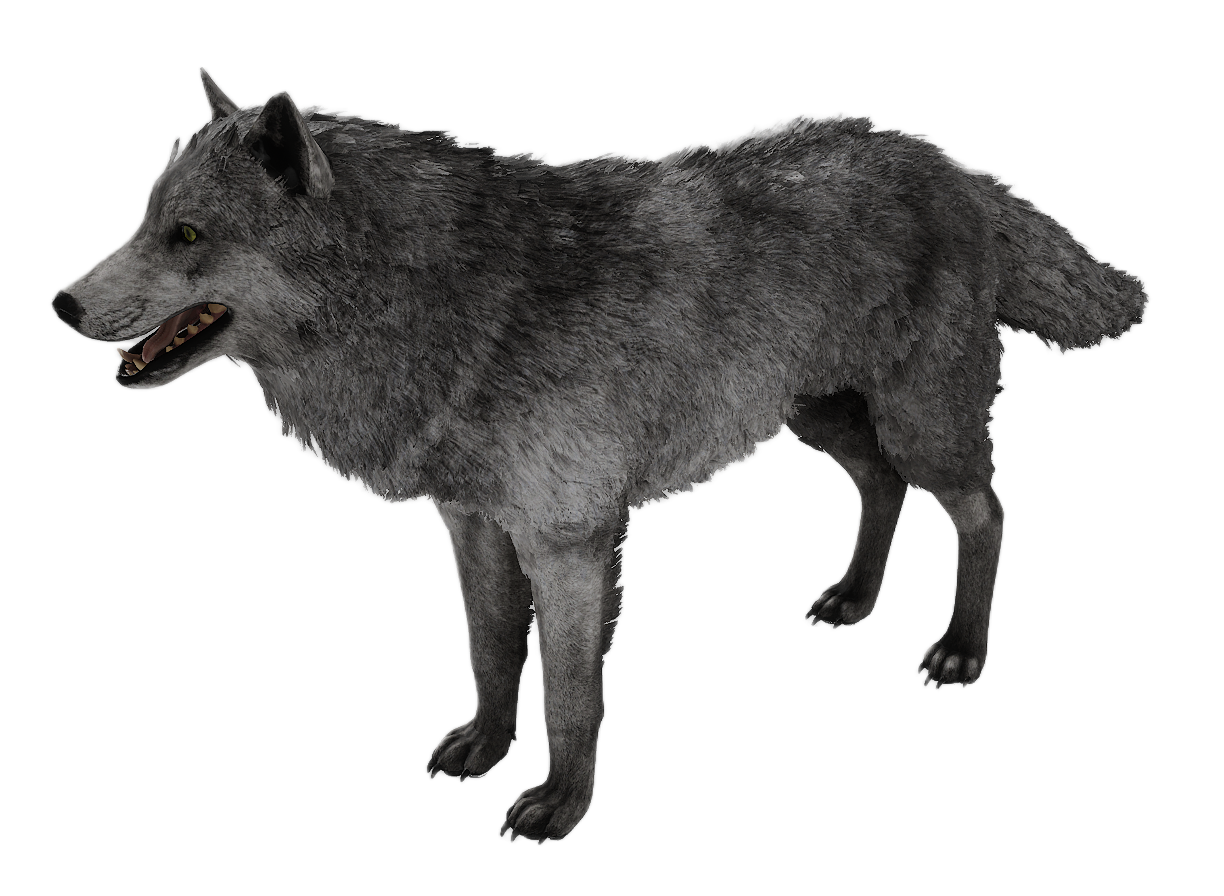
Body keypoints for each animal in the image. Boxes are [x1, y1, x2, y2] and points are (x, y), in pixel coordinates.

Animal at [50, 67, 1150, 844]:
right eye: (144, 221)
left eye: (188, 234)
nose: (60, 302)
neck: (459, 300)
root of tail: (953, 164)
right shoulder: (474, 527)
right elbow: (493, 653)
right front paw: (485, 747)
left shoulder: (573, 541)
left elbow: (574, 693)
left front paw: (560, 803)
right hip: (817, 416)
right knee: (881, 486)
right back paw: (850, 598)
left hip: (919, 420)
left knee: (984, 510)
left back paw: (960, 649)